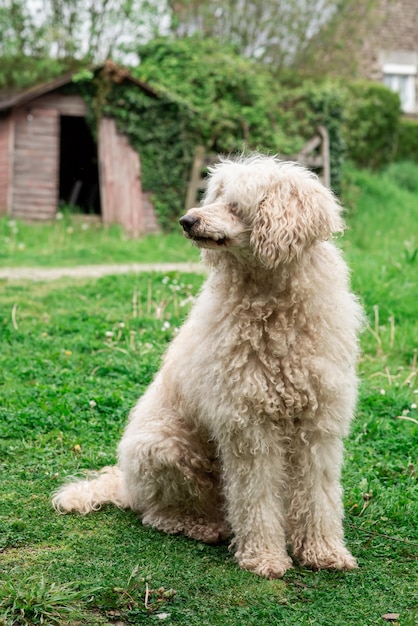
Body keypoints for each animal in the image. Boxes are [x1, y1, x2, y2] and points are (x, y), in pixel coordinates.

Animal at [52, 152, 362, 576]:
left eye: (235, 205)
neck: (271, 305)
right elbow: (255, 498)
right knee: (157, 514)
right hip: (167, 450)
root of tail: (126, 485)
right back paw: (203, 526)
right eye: (214, 195)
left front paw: (323, 551)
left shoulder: (318, 426)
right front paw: (265, 557)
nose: (187, 220)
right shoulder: (249, 428)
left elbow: (319, 494)